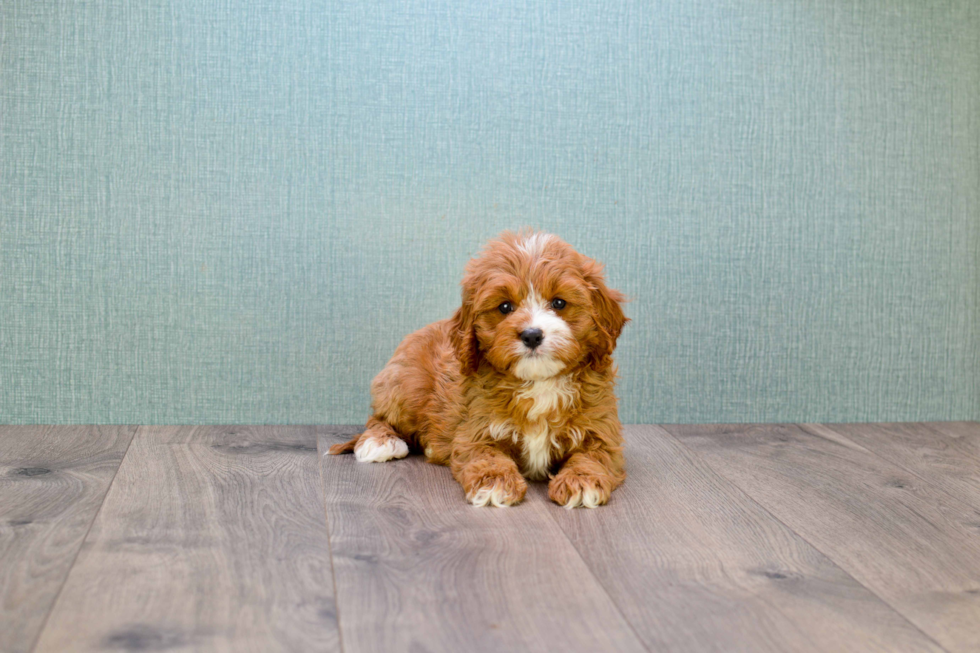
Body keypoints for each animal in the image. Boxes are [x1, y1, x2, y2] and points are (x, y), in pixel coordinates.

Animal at [330, 229, 628, 510]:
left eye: (559, 303)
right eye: (505, 307)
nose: (532, 335)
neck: (538, 381)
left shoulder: (602, 430)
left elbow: (593, 456)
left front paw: (581, 481)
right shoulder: (475, 428)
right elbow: (486, 455)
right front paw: (495, 483)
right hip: (406, 386)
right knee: (379, 417)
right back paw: (381, 442)